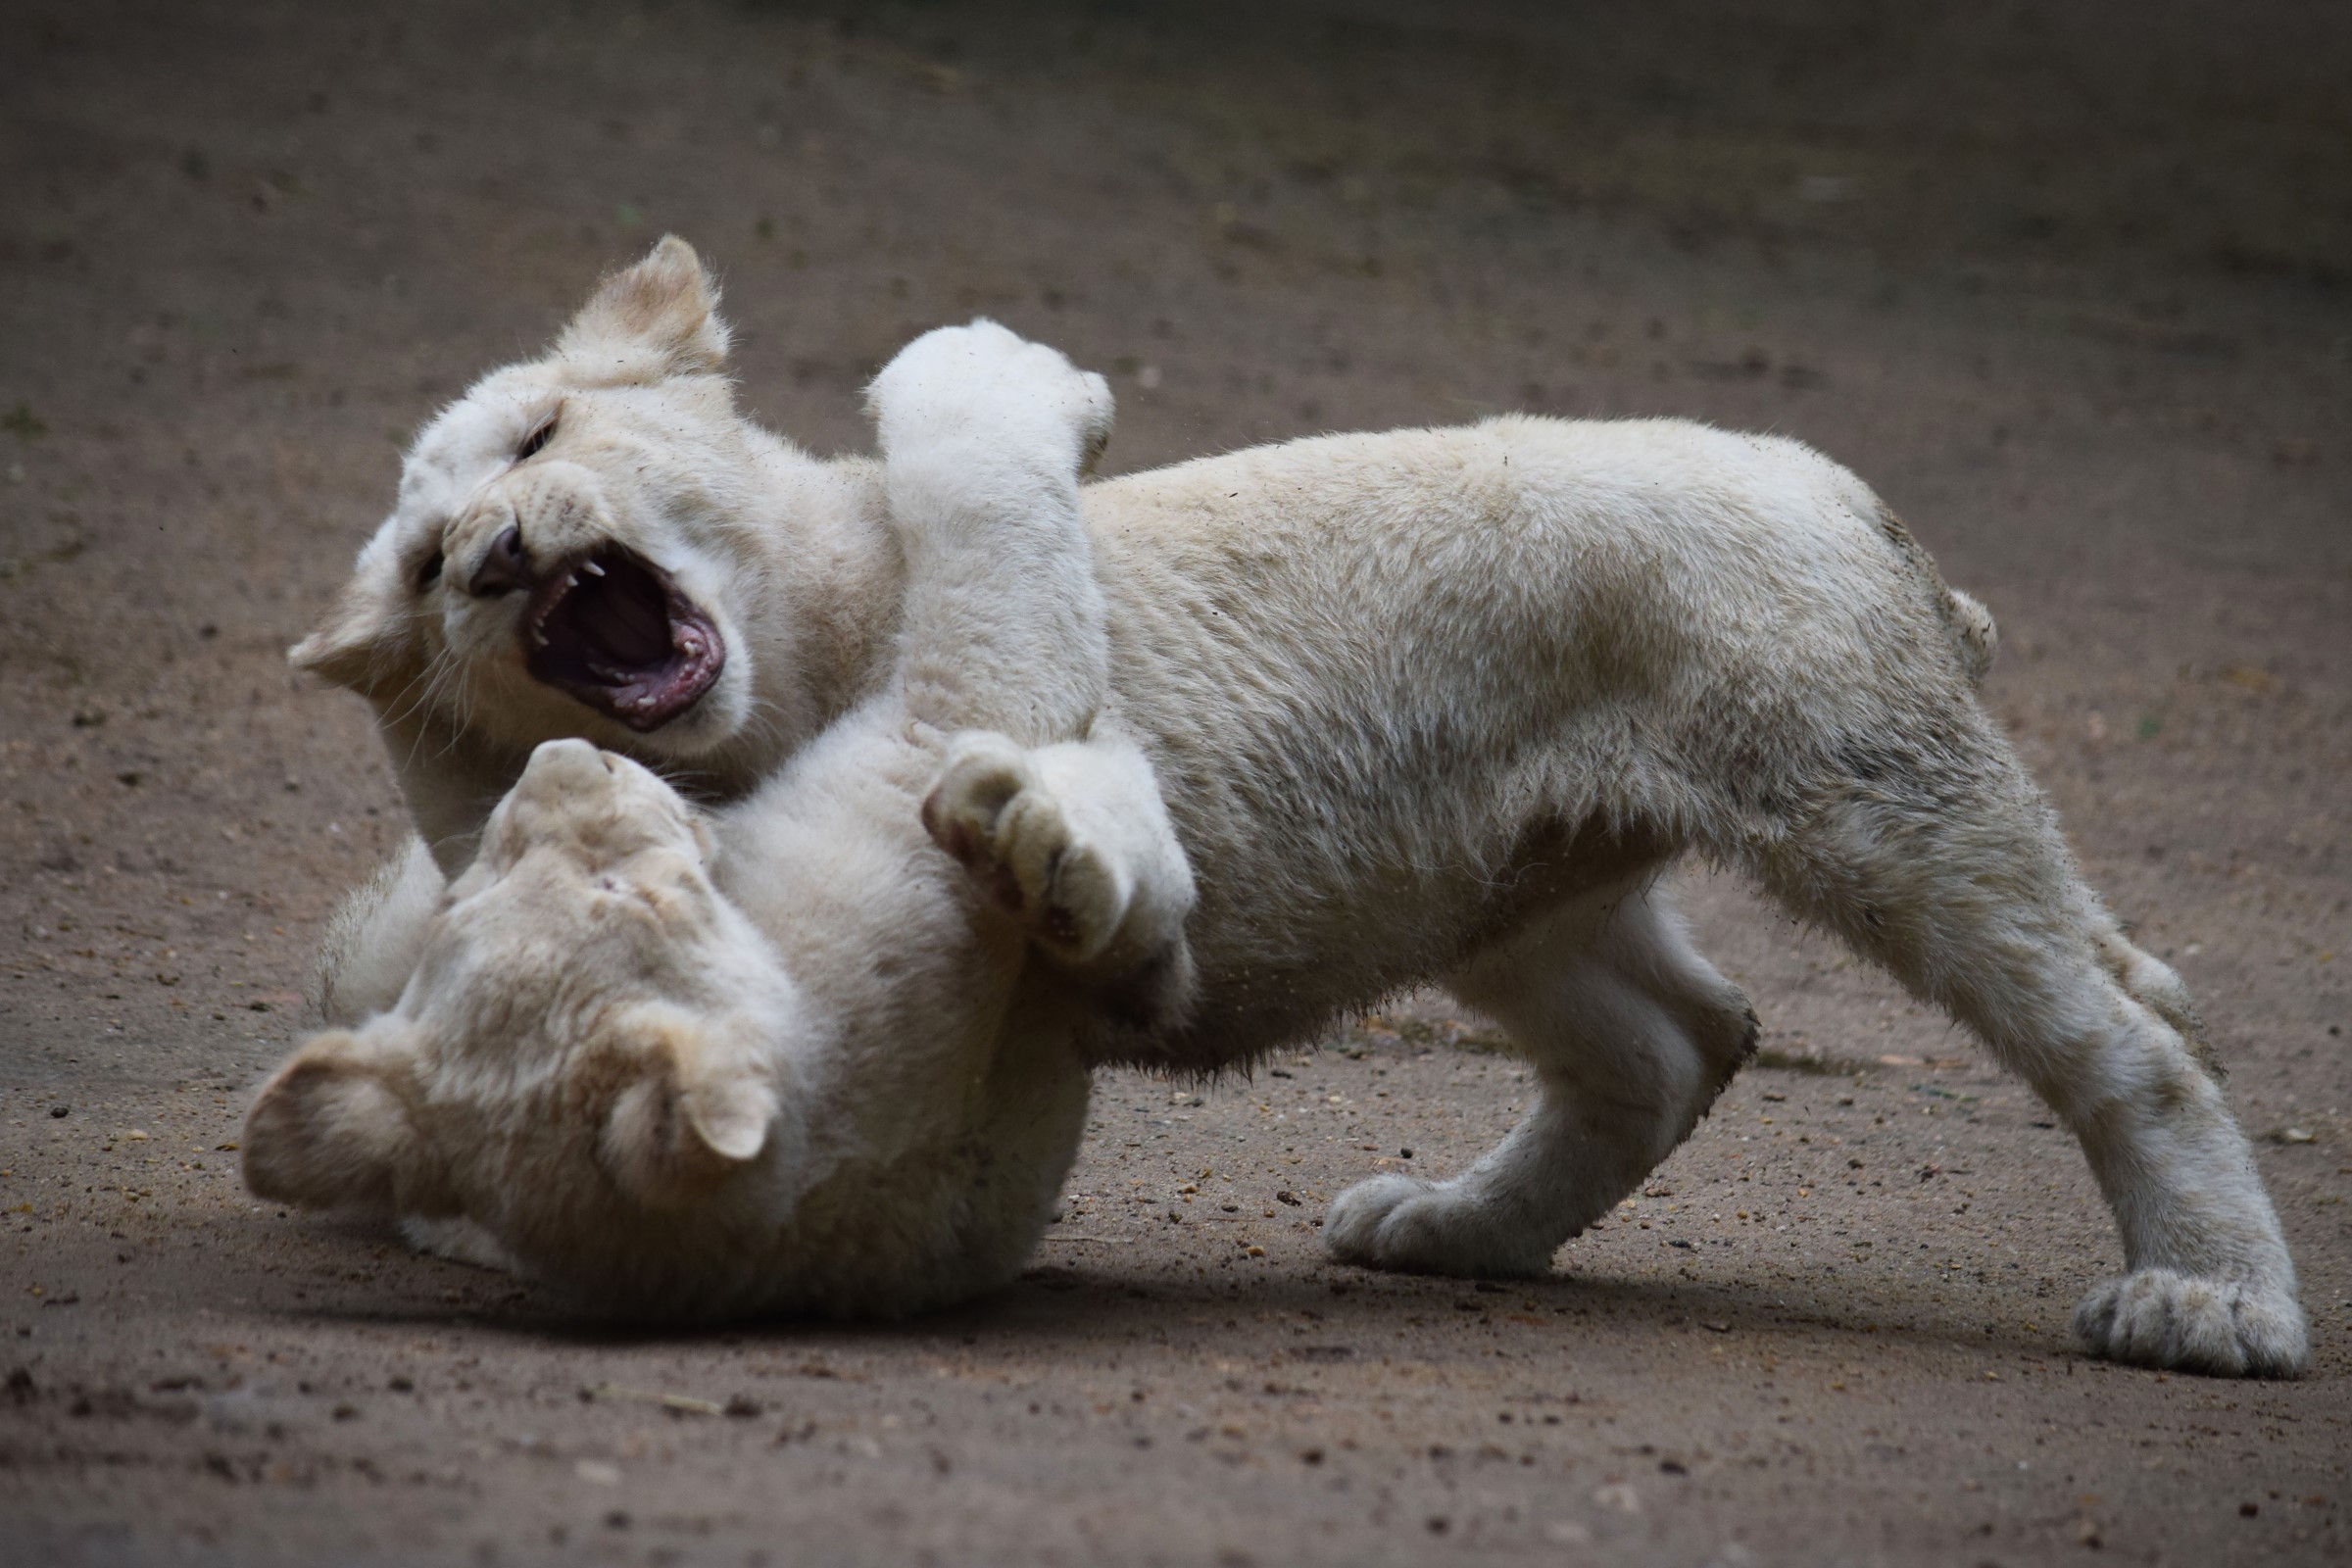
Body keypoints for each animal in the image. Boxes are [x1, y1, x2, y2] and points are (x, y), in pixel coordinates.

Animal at [253, 240, 2305, 1375]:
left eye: (536, 442)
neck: (793, 665)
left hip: (1859, 781)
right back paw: (1457, 1228)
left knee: (2132, 1029)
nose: (502, 557)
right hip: (1499, 885)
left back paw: (2210, 1306)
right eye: (429, 568)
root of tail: (1861, 502)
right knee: (1682, 1035)